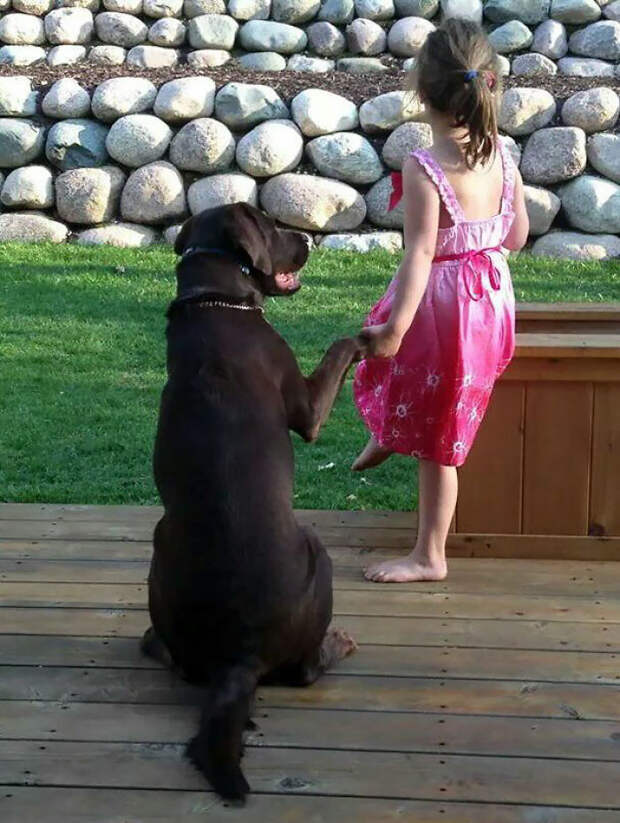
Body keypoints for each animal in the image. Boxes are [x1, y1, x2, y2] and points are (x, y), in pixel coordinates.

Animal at [143, 204, 366, 804]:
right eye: (270, 224)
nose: (310, 239)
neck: (214, 298)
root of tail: (239, 657)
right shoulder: (307, 407)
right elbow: (340, 345)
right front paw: (365, 335)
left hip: (158, 544)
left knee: (174, 658)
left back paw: (152, 642)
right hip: (319, 550)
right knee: (305, 671)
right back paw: (337, 643)